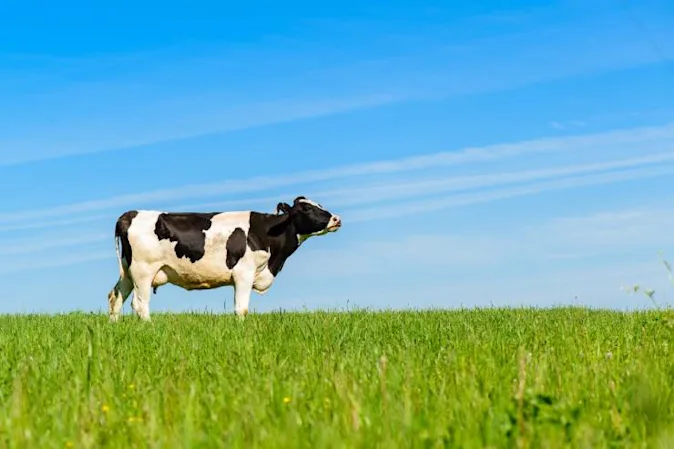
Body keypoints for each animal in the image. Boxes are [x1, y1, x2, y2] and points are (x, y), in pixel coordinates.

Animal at [106, 196, 341, 322]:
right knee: (140, 303)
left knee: (115, 297)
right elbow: (242, 308)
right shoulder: (244, 273)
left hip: (128, 272)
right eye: (307, 208)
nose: (336, 219)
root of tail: (130, 214)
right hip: (143, 271)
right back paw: (150, 327)